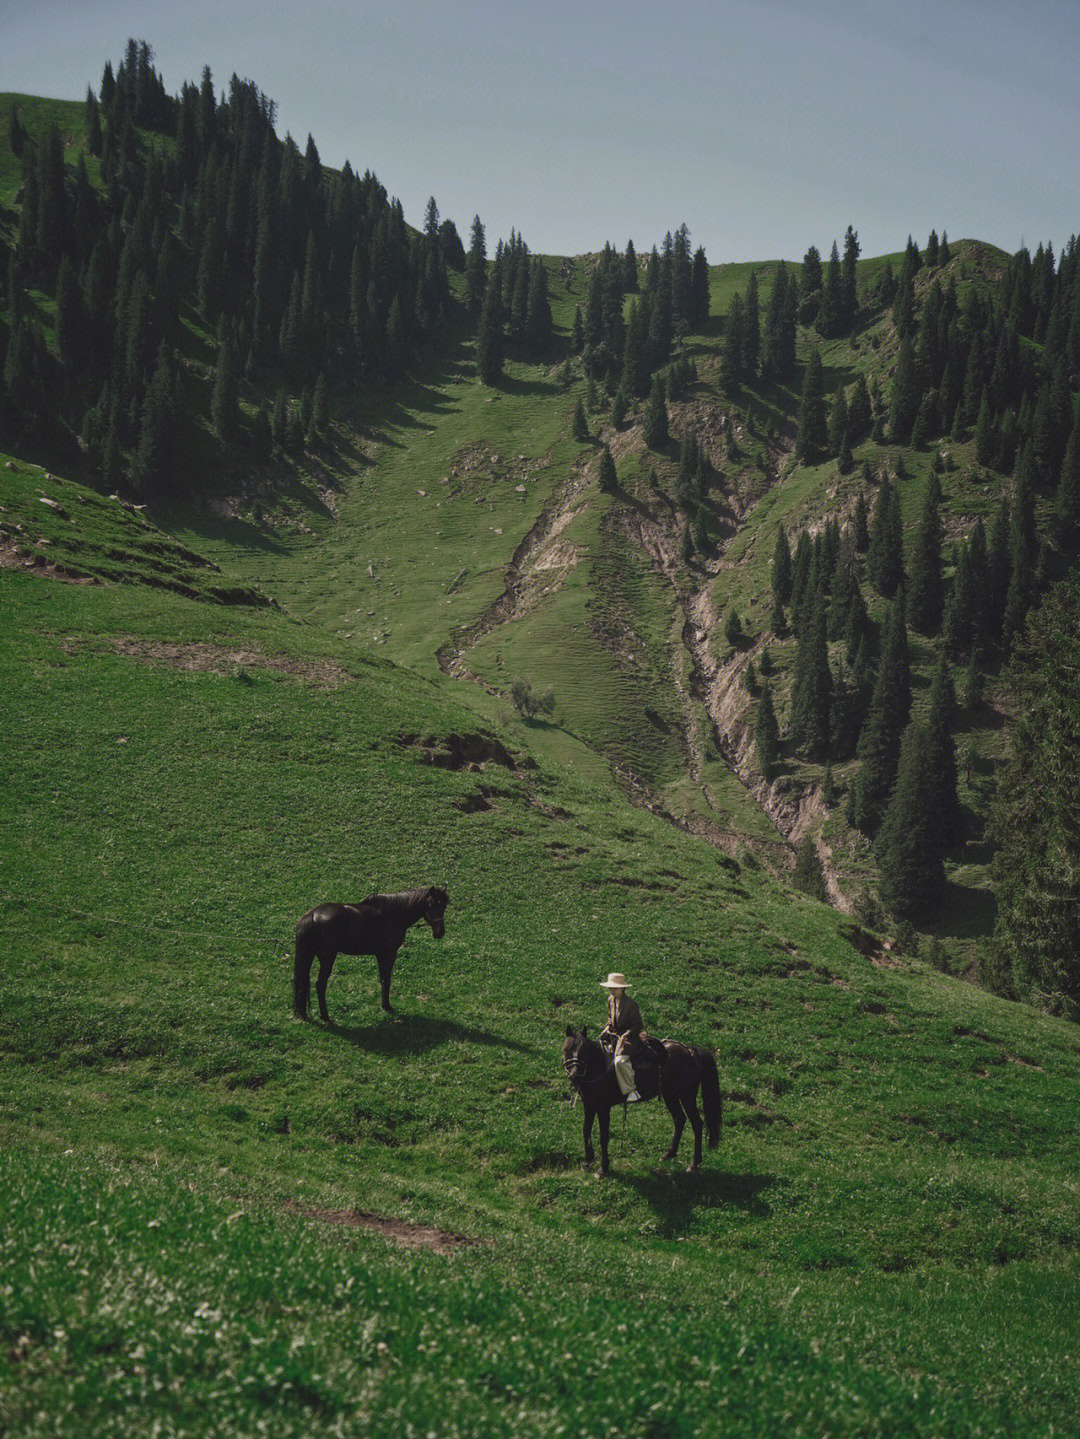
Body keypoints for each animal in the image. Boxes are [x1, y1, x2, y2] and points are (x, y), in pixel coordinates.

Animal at [291, 880, 448, 1018]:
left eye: (444, 906)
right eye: (430, 904)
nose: (440, 932)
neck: (393, 914)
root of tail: (312, 915)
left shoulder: (380, 955)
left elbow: (382, 979)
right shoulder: (389, 954)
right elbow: (386, 979)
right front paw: (387, 1006)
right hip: (327, 958)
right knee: (320, 984)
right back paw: (325, 1016)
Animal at [560, 1024, 721, 1168]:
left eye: (584, 1051)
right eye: (566, 1049)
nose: (575, 1076)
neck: (599, 1065)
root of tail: (691, 1050)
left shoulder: (603, 1108)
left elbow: (603, 1136)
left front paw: (603, 1168)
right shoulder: (589, 1105)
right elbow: (586, 1130)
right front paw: (588, 1161)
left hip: (687, 1097)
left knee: (697, 1123)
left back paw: (694, 1163)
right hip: (670, 1096)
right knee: (680, 1119)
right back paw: (669, 1154)